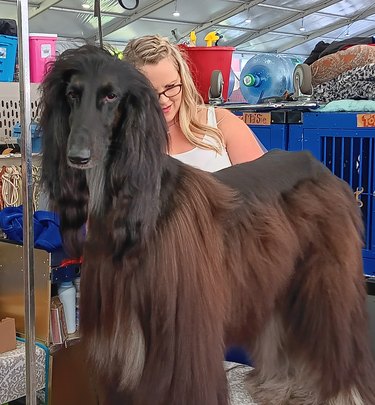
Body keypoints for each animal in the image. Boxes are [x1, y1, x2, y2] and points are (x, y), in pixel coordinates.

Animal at [39, 45, 375, 402]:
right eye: (72, 95)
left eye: (111, 95)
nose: (77, 156)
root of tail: (318, 165)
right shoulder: (120, 338)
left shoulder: (181, 332)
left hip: (326, 280)